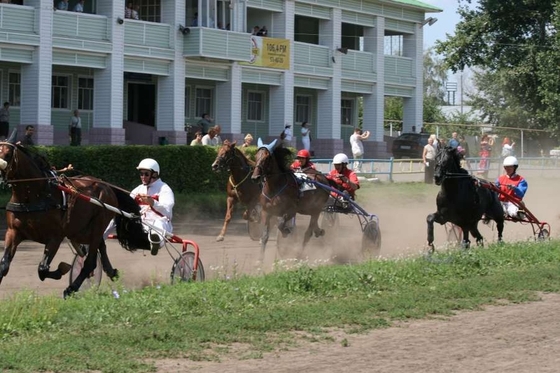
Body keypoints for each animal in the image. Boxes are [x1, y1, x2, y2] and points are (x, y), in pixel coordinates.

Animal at [0, 136, 150, 296]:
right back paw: (111, 271)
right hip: (80, 230)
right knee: (100, 247)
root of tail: (107, 187)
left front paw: (62, 269)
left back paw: (72, 288)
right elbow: (4, 266)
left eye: (8, 154)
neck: (35, 195)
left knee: (90, 261)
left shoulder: (55, 237)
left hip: (97, 225)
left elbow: (43, 269)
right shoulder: (13, 232)